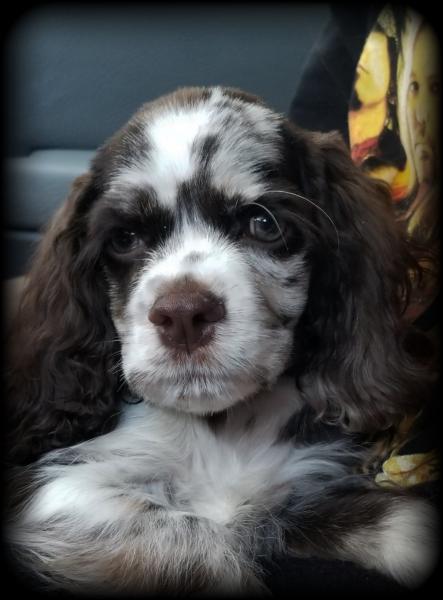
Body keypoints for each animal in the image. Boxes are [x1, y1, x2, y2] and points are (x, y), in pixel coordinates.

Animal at [4, 86, 440, 592]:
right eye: (125, 237)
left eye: (264, 224)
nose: (183, 314)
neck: (221, 437)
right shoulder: (57, 491)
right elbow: (193, 542)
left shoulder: (290, 487)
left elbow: (397, 525)